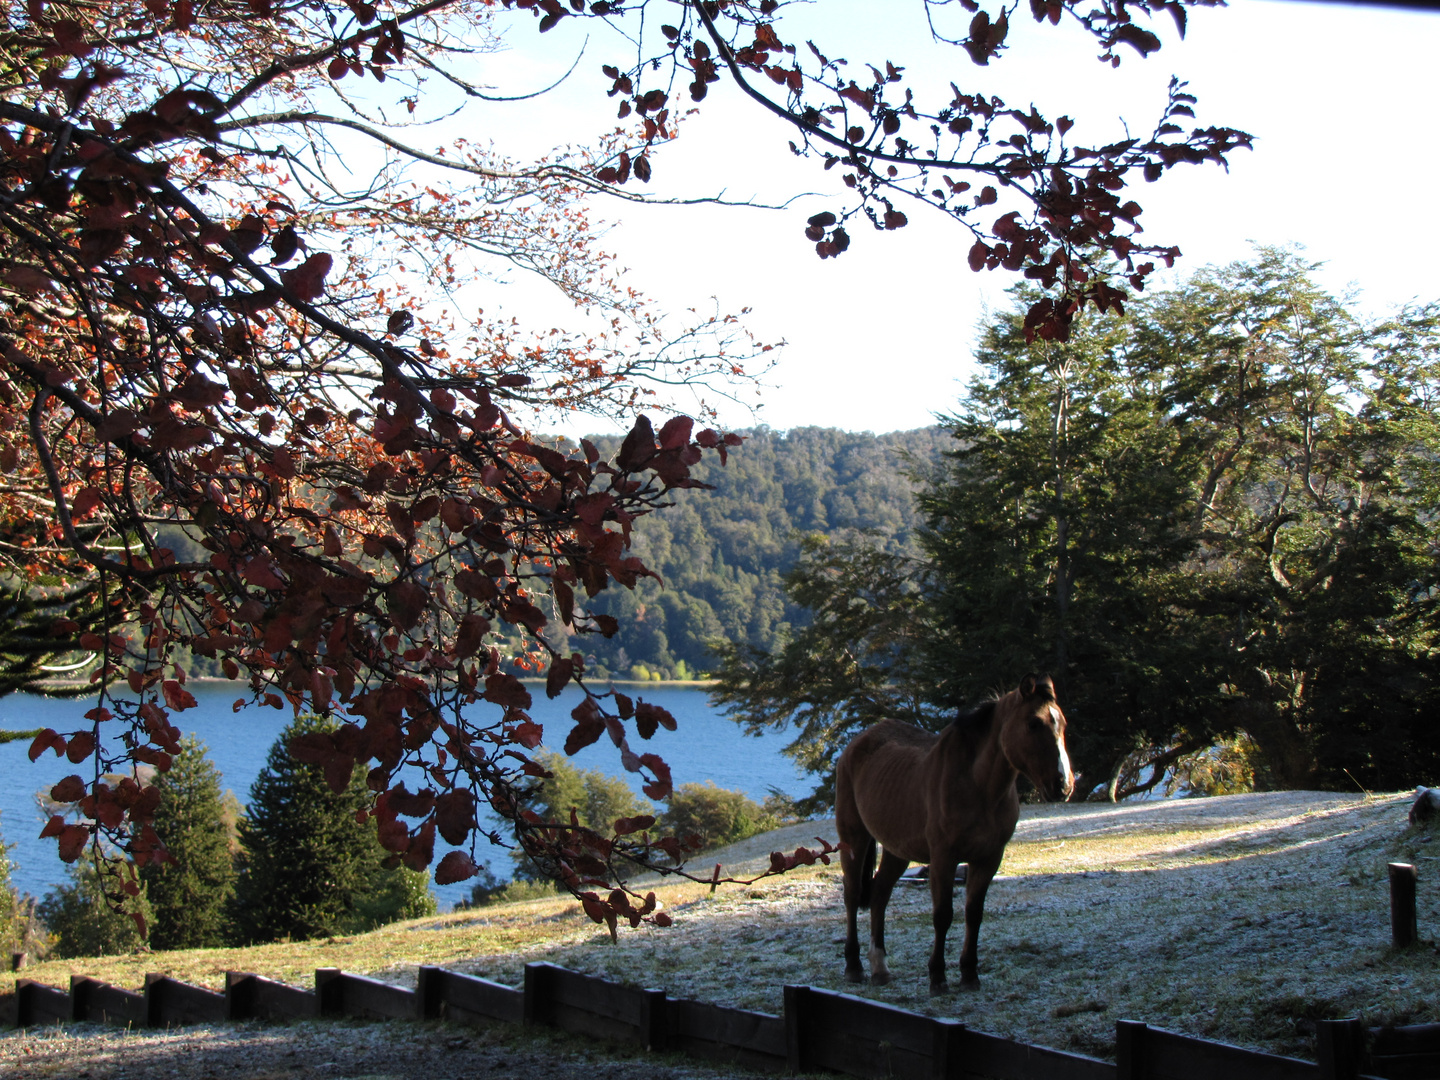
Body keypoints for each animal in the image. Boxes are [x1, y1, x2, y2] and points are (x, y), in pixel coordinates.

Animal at [829, 676, 1077, 996]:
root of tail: (856, 745)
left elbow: (974, 913)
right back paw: (854, 967)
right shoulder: (943, 858)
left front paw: (969, 974)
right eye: (1033, 724)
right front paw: (937, 977)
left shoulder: (988, 858)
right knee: (852, 895)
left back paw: (880, 967)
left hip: (897, 849)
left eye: (1063, 724)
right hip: (854, 839)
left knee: (879, 894)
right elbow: (943, 915)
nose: (1063, 785)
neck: (978, 786)